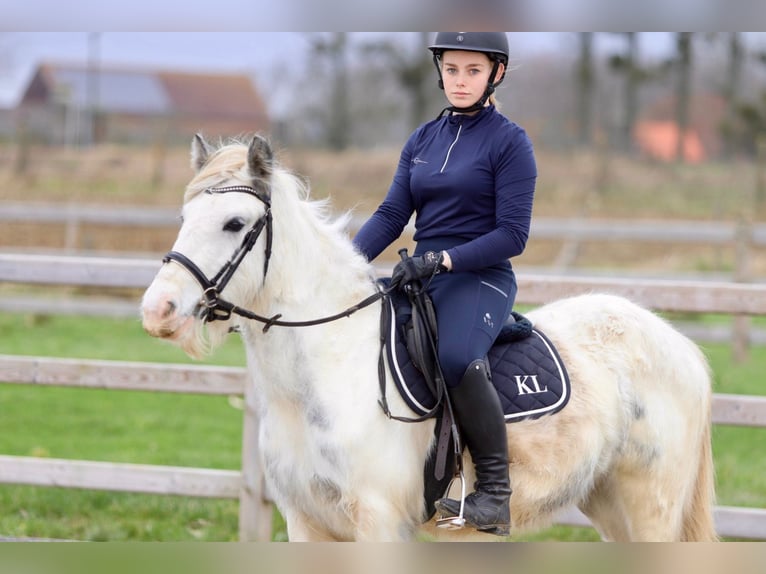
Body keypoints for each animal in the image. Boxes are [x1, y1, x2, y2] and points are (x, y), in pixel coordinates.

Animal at [140, 136, 720, 544]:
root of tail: (676, 343)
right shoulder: (306, 523)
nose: (157, 310)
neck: (323, 374)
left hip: (651, 509)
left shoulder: (377, 523)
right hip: (608, 503)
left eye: (235, 224)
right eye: (185, 217)